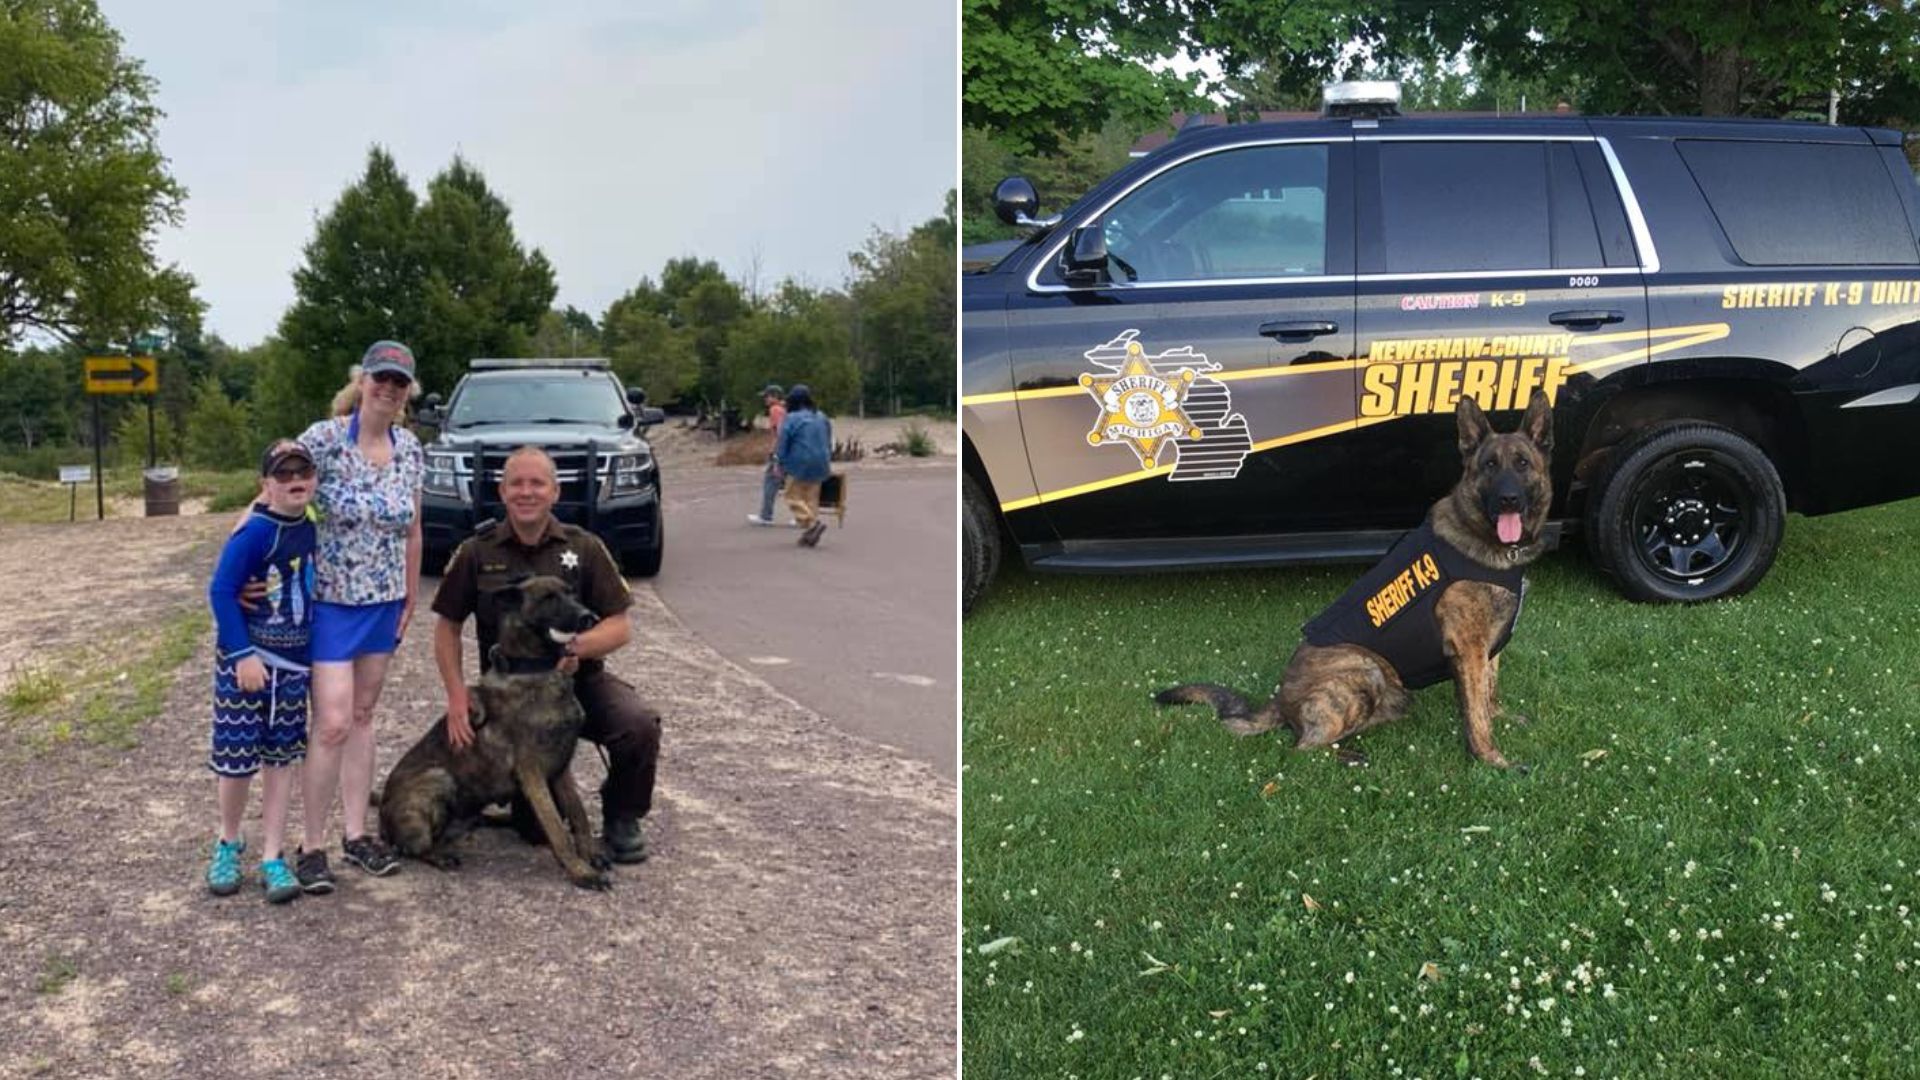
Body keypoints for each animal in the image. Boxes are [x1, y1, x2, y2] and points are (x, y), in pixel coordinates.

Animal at [378, 572, 610, 883]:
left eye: (572, 593)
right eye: (548, 598)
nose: (590, 617)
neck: (534, 669)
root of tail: (382, 818)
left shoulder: (562, 767)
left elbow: (578, 814)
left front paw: (590, 856)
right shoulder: (533, 772)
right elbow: (556, 827)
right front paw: (580, 871)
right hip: (439, 778)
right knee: (415, 846)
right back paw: (439, 854)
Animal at [1144, 386, 1551, 764]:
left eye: (1522, 464)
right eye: (1489, 466)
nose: (1509, 500)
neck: (1488, 541)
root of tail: (1280, 697)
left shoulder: (1488, 648)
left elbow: (1489, 694)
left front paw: (1502, 719)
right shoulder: (1469, 649)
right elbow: (1476, 713)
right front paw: (1493, 760)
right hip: (1363, 670)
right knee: (1301, 747)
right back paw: (1349, 756)